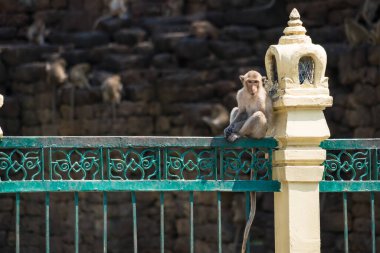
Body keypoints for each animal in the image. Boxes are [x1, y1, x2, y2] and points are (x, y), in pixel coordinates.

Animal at [223, 70, 274, 253]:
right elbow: (241, 111)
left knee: (258, 116)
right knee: (237, 109)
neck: (251, 95)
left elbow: (263, 115)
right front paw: (229, 127)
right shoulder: (240, 94)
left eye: (256, 82)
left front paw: (235, 130)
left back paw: (239, 134)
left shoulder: (262, 99)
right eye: (249, 82)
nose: (253, 88)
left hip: (260, 134)